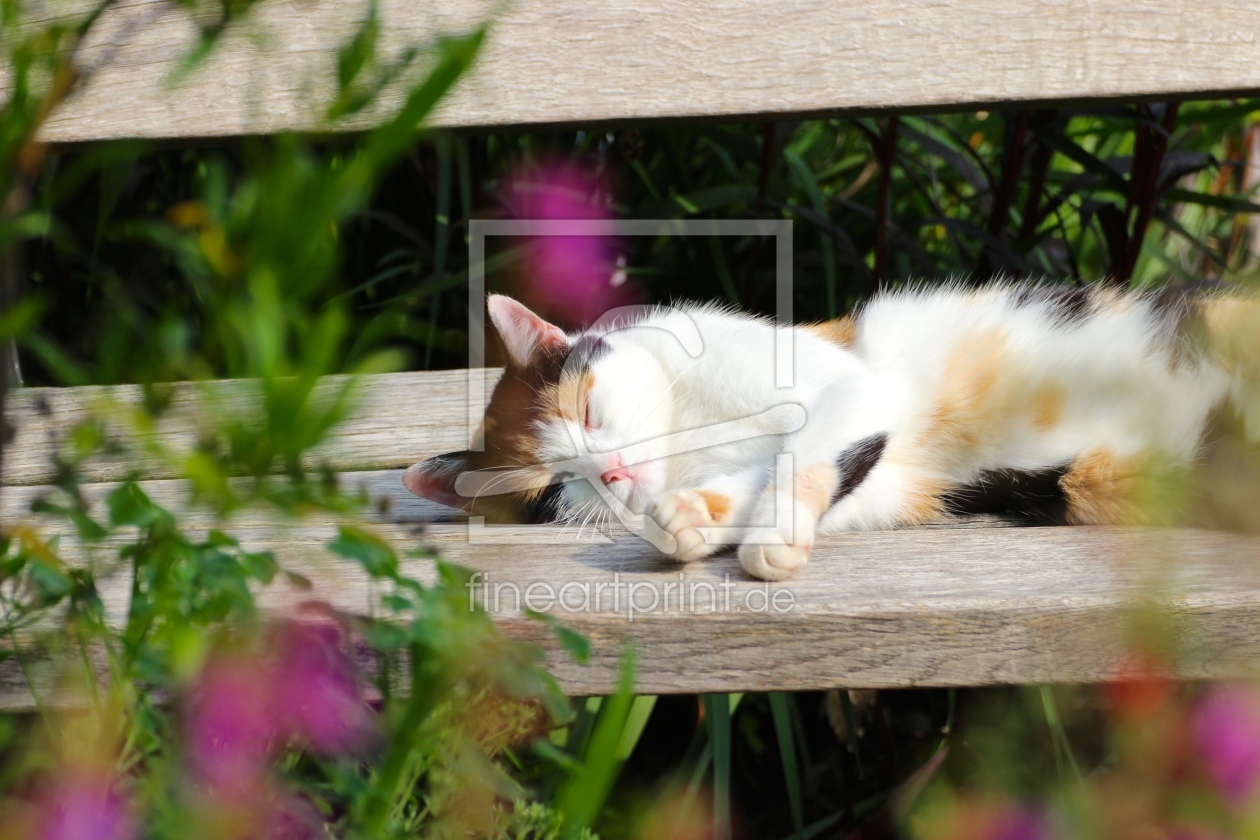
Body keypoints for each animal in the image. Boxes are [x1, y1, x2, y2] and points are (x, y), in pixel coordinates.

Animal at [403, 282, 1260, 579]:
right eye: (554, 490)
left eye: (587, 411)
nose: (610, 474)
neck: (692, 435)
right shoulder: (881, 481)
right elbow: (768, 485)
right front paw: (690, 520)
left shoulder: (846, 392)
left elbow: (801, 462)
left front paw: (762, 536)